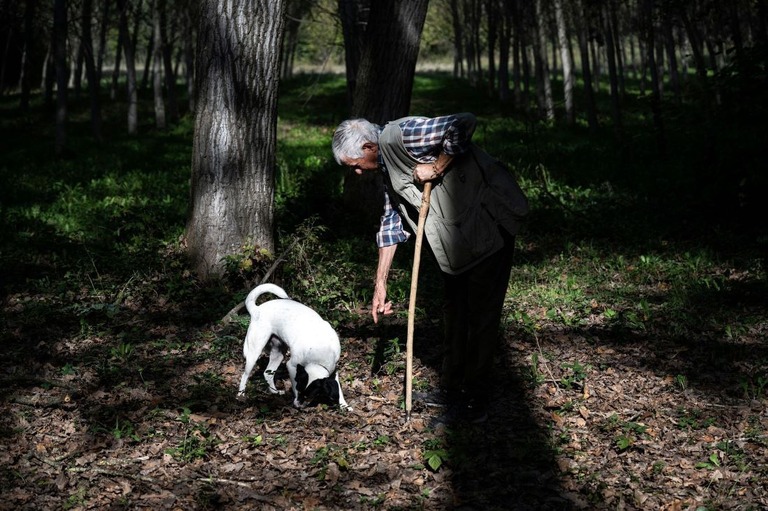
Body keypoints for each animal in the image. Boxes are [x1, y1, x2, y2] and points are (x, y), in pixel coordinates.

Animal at [237, 284, 352, 412]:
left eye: (309, 395)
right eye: (300, 389)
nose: (297, 405)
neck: (318, 356)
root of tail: (256, 309)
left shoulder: (333, 370)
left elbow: (339, 390)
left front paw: (344, 405)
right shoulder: (291, 366)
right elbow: (294, 384)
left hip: (278, 353)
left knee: (267, 373)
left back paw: (275, 392)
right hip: (254, 352)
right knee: (245, 375)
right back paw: (241, 395)